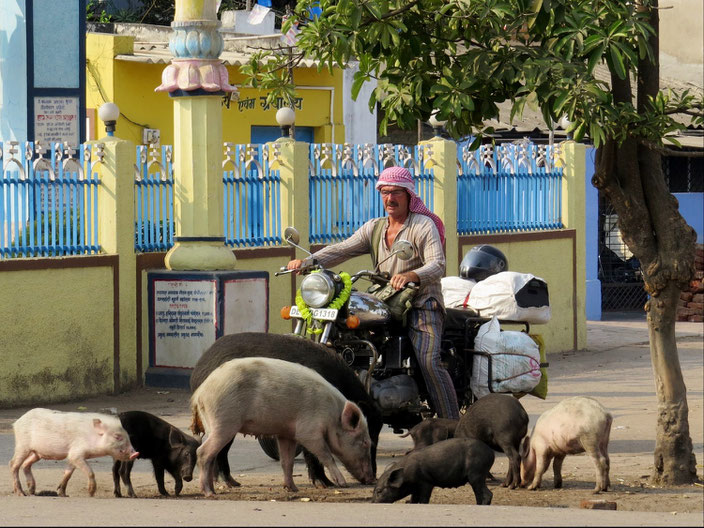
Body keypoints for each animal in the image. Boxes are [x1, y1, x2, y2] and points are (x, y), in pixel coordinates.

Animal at [10, 408, 140, 496]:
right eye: (118, 436)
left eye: (128, 436)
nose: (135, 453)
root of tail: (17, 422)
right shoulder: (77, 453)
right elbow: (90, 471)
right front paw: (91, 493)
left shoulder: (72, 456)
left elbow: (68, 473)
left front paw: (63, 494)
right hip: (22, 446)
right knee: (13, 464)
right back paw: (21, 493)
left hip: (36, 453)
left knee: (26, 464)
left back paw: (32, 491)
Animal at [187, 356, 374, 498]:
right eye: (365, 442)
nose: (371, 479)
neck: (332, 416)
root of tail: (200, 392)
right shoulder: (308, 431)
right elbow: (326, 455)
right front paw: (342, 483)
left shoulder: (287, 434)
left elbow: (287, 461)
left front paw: (292, 489)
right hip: (224, 422)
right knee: (203, 452)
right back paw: (208, 493)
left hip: (213, 424)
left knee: (211, 455)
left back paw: (213, 490)